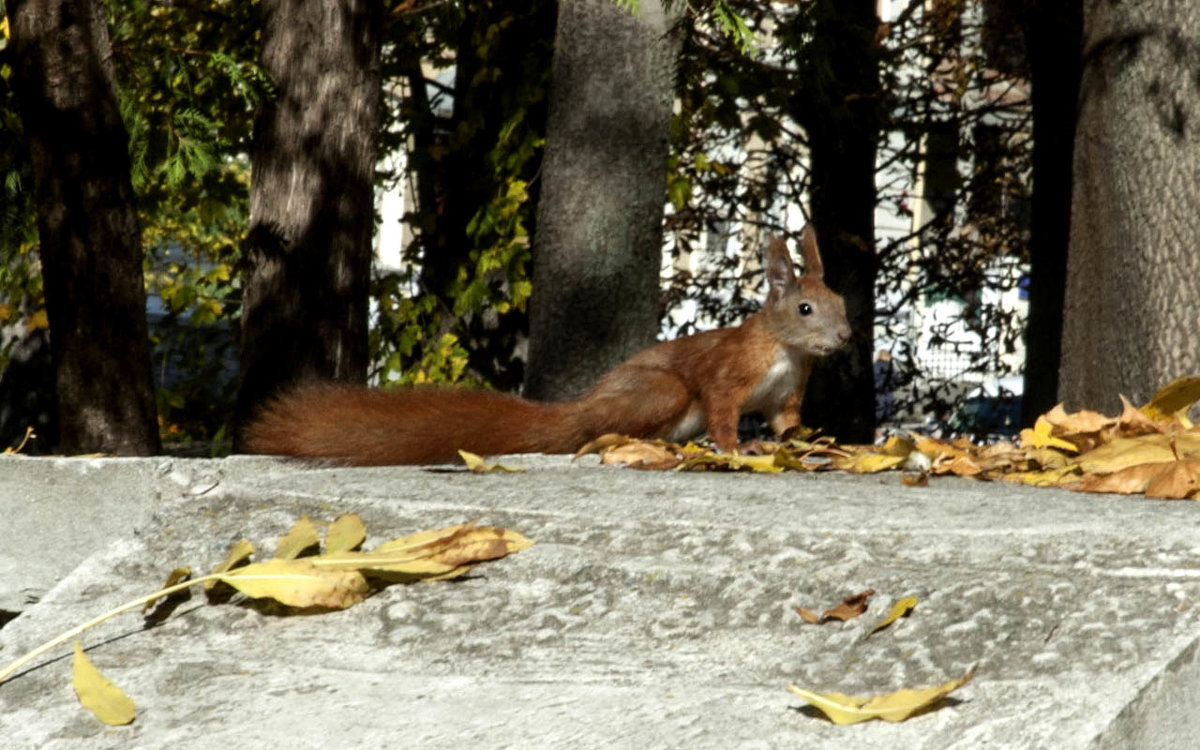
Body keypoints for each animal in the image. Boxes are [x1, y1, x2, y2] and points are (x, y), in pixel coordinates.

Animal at [238, 225, 849, 465]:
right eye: (805, 309)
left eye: (842, 301)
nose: (845, 337)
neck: (788, 353)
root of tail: (586, 406)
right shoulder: (728, 373)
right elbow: (723, 410)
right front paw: (740, 446)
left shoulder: (787, 394)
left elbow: (787, 422)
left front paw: (805, 439)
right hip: (659, 393)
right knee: (603, 431)